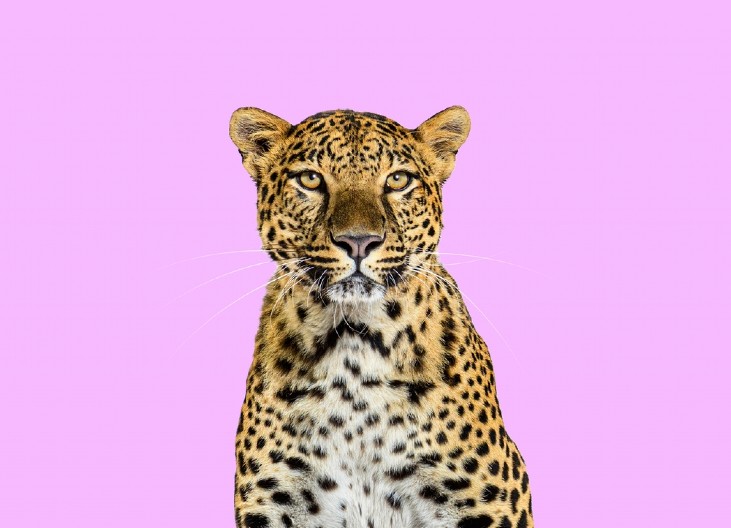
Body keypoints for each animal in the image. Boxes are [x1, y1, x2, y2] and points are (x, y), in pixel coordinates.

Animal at [228, 105, 534, 528]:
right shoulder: (273, 501)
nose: (359, 241)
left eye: (398, 180)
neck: (353, 344)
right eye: (310, 179)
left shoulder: (485, 502)